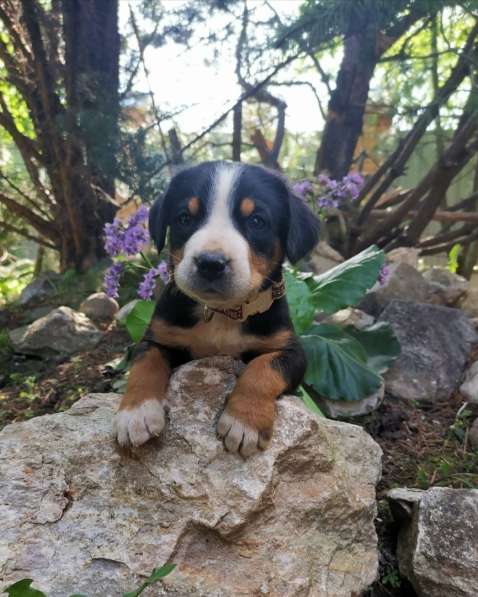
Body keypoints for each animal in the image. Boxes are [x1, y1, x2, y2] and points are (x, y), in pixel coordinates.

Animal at [113, 159, 320, 456]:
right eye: (184, 218)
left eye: (257, 221)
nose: (211, 263)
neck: (221, 313)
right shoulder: (157, 336)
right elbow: (145, 363)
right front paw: (136, 414)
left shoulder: (291, 350)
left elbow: (263, 368)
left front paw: (244, 421)